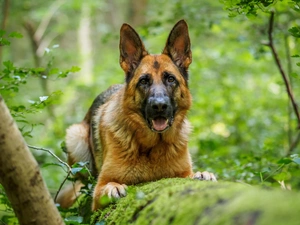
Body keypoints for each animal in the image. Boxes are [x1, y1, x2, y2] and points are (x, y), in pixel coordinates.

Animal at [56, 19, 216, 211]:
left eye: (170, 79)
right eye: (144, 81)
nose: (159, 106)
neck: (153, 148)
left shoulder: (183, 173)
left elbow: (192, 174)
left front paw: (203, 174)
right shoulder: (99, 191)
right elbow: (105, 186)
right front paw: (114, 187)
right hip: (75, 136)